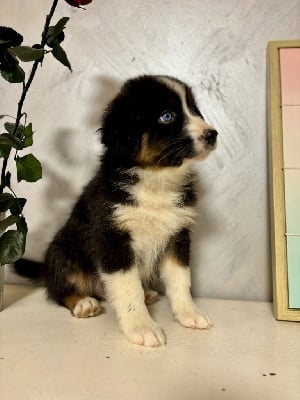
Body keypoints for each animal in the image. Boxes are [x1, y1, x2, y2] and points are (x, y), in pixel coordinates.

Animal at [43, 75, 218, 346]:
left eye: (194, 110)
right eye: (167, 116)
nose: (212, 134)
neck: (155, 181)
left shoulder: (177, 235)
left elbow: (180, 279)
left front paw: (189, 312)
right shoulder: (113, 238)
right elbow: (128, 287)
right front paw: (142, 327)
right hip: (62, 252)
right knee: (60, 289)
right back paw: (83, 303)